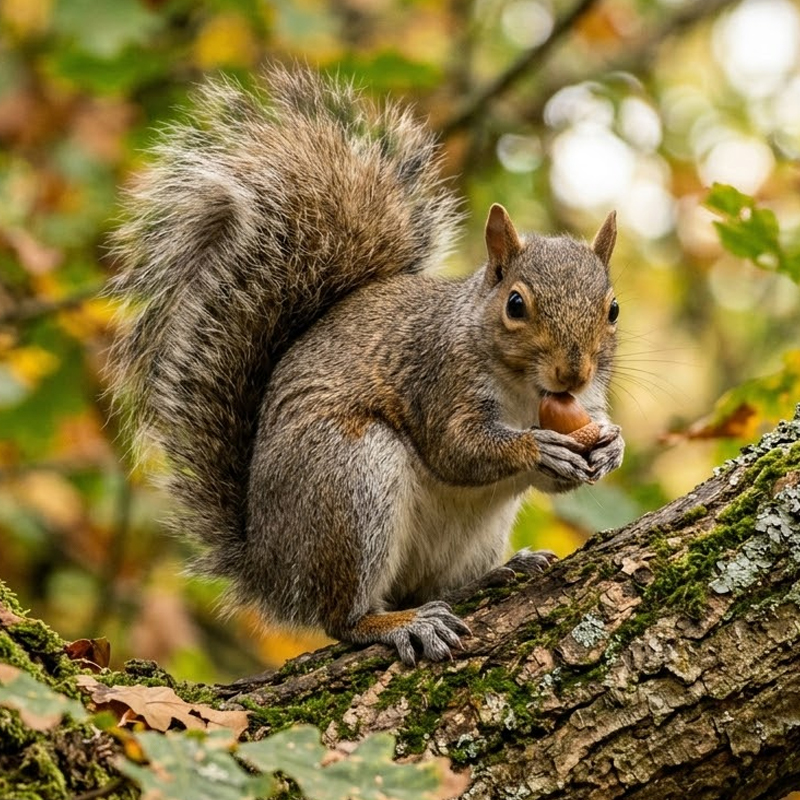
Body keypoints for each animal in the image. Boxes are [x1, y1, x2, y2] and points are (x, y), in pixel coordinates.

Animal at [109, 65, 624, 666]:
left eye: (613, 309)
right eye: (515, 305)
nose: (574, 374)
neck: (525, 392)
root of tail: (268, 566)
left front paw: (610, 447)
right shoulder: (437, 379)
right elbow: (457, 451)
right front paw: (539, 447)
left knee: (433, 587)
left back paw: (497, 574)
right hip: (350, 481)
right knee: (344, 618)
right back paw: (398, 624)